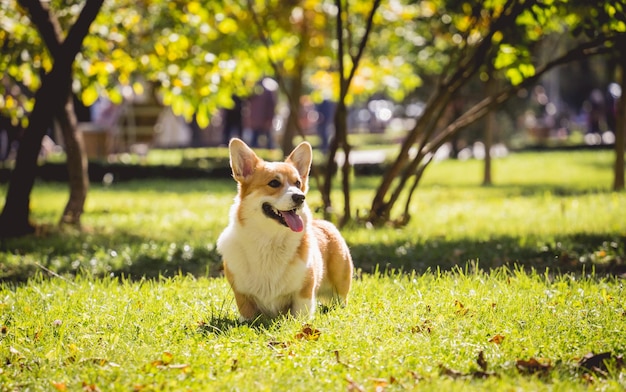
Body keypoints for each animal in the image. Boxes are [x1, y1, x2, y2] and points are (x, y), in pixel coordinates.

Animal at [216, 139, 352, 320]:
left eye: (298, 183)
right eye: (274, 183)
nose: (301, 197)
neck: (270, 240)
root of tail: (324, 222)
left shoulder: (304, 290)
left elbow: (301, 313)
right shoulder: (242, 294)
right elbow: (247, 315)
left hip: (340, 287)